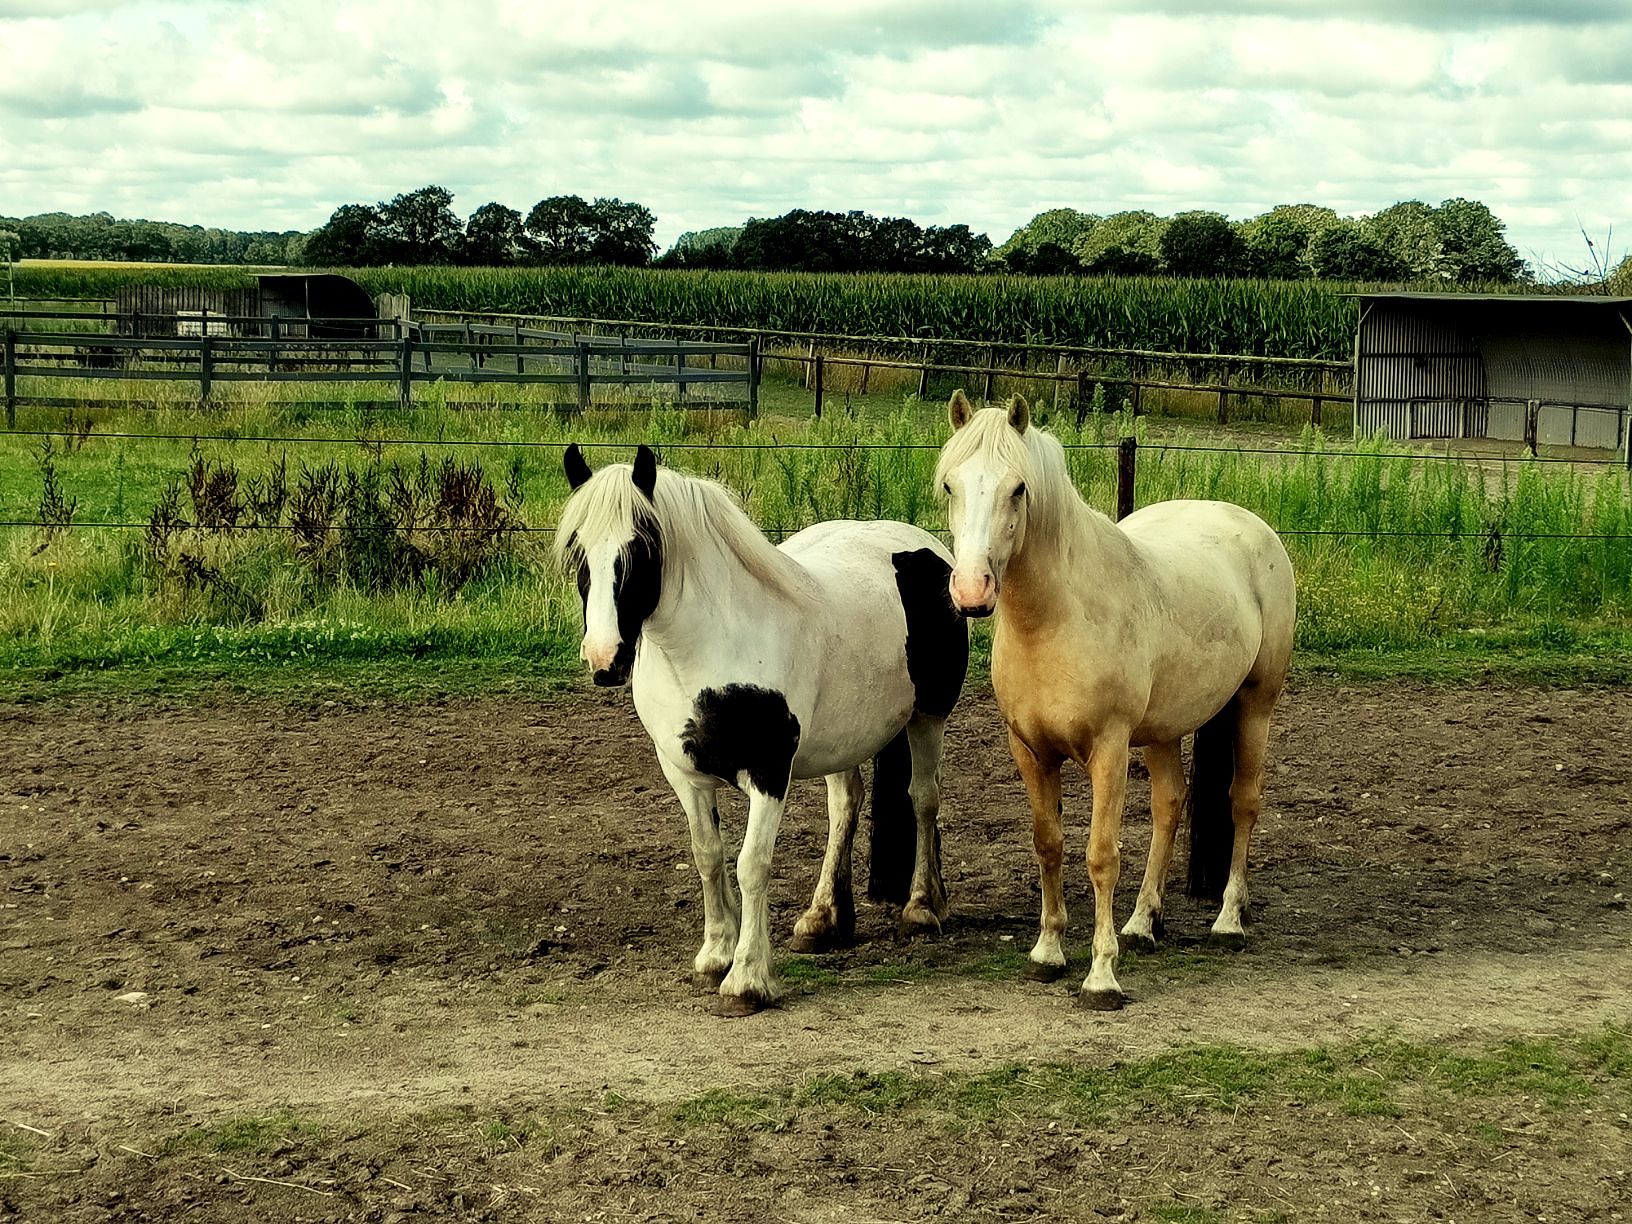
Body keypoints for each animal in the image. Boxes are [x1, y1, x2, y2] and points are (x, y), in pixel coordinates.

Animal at [557, 444, 970, 1015]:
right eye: (578, 551)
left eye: (639, 547)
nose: (603, 660)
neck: (709, 648)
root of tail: (925, 547)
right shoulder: (684, 774)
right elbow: (708, 856)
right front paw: (715, 954)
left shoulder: (770, 772)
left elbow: (752, 864)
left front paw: (747, 978)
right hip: (843, 740)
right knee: (845, 805)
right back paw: (823, 919)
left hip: (929, 718)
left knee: (924, 799)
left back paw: (923, 907)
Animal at [934, 390, 1296, 1010]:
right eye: (951, 485)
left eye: (1018, 488)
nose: (971, 591)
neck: (1055, 619)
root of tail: (1247, 524)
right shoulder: (1029, 750)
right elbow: (1049, 844)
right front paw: (1048, 953)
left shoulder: (1108, 749)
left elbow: (1101, 855)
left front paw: (1101, 976)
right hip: (1164, 730)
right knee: (1170, 804)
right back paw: (1142, 924)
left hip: (1256, 704)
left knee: (1243, 802)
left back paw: (1228, 919)